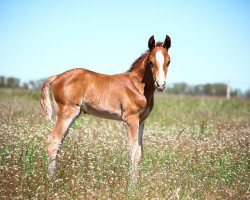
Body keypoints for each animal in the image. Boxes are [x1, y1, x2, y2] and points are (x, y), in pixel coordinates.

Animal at [39, 34, 172, 186]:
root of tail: (57, 76)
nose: (160, 85)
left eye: (169, 61)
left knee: (59, 142)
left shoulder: (141, 121)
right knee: (53, 142)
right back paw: (52, 184)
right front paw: (131, 187)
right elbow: (133, 152)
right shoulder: (130, 119)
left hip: (73, 115)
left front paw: (137, 184)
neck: (137, 85)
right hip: (67, 113)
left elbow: (139, 153)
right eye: (150, 62)